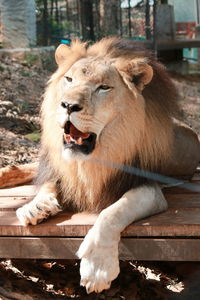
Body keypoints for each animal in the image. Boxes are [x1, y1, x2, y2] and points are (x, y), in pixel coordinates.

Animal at [14, 37, 200, 292]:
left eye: (103, 87)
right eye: (69, 79)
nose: (67, 105)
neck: (90, 161)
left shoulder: (148, 188)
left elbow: (112, 212)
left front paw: (97, 268)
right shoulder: (61, 170)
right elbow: (48, 184)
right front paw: (36, 206)